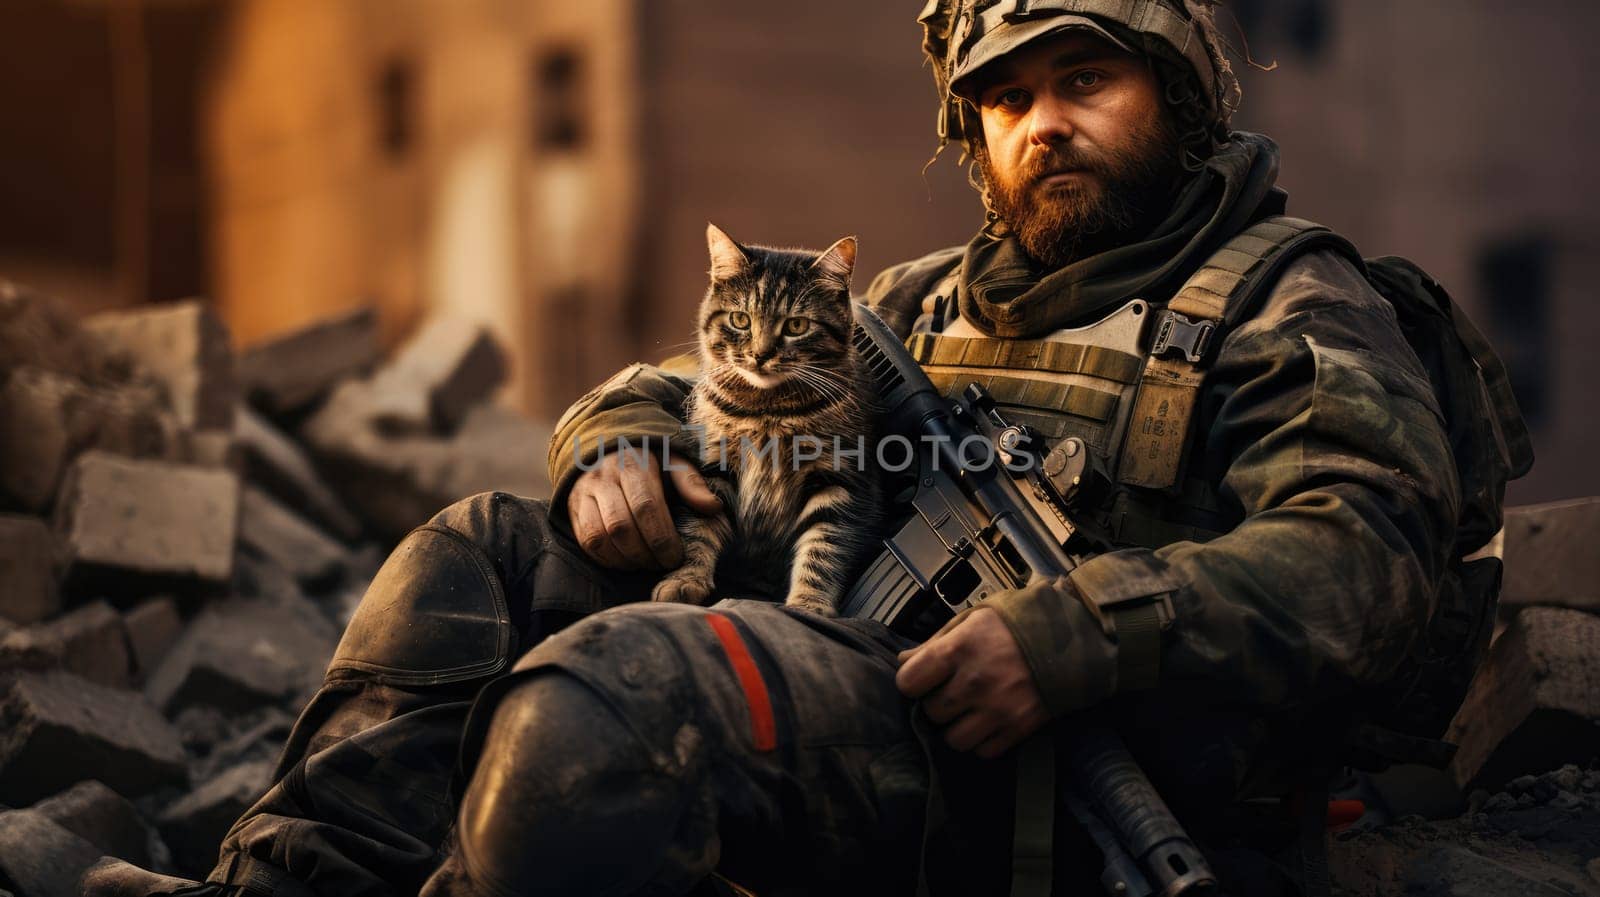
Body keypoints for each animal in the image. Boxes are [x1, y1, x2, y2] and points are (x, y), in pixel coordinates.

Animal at [649, 223, 883, 613]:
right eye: (740, 320)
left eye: (797, 325)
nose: (759, 354)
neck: (768, 410)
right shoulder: (713, 467)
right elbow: (697, 527)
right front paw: (685, 578)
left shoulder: (840, 479)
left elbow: (824, 547)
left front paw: (808, 603)